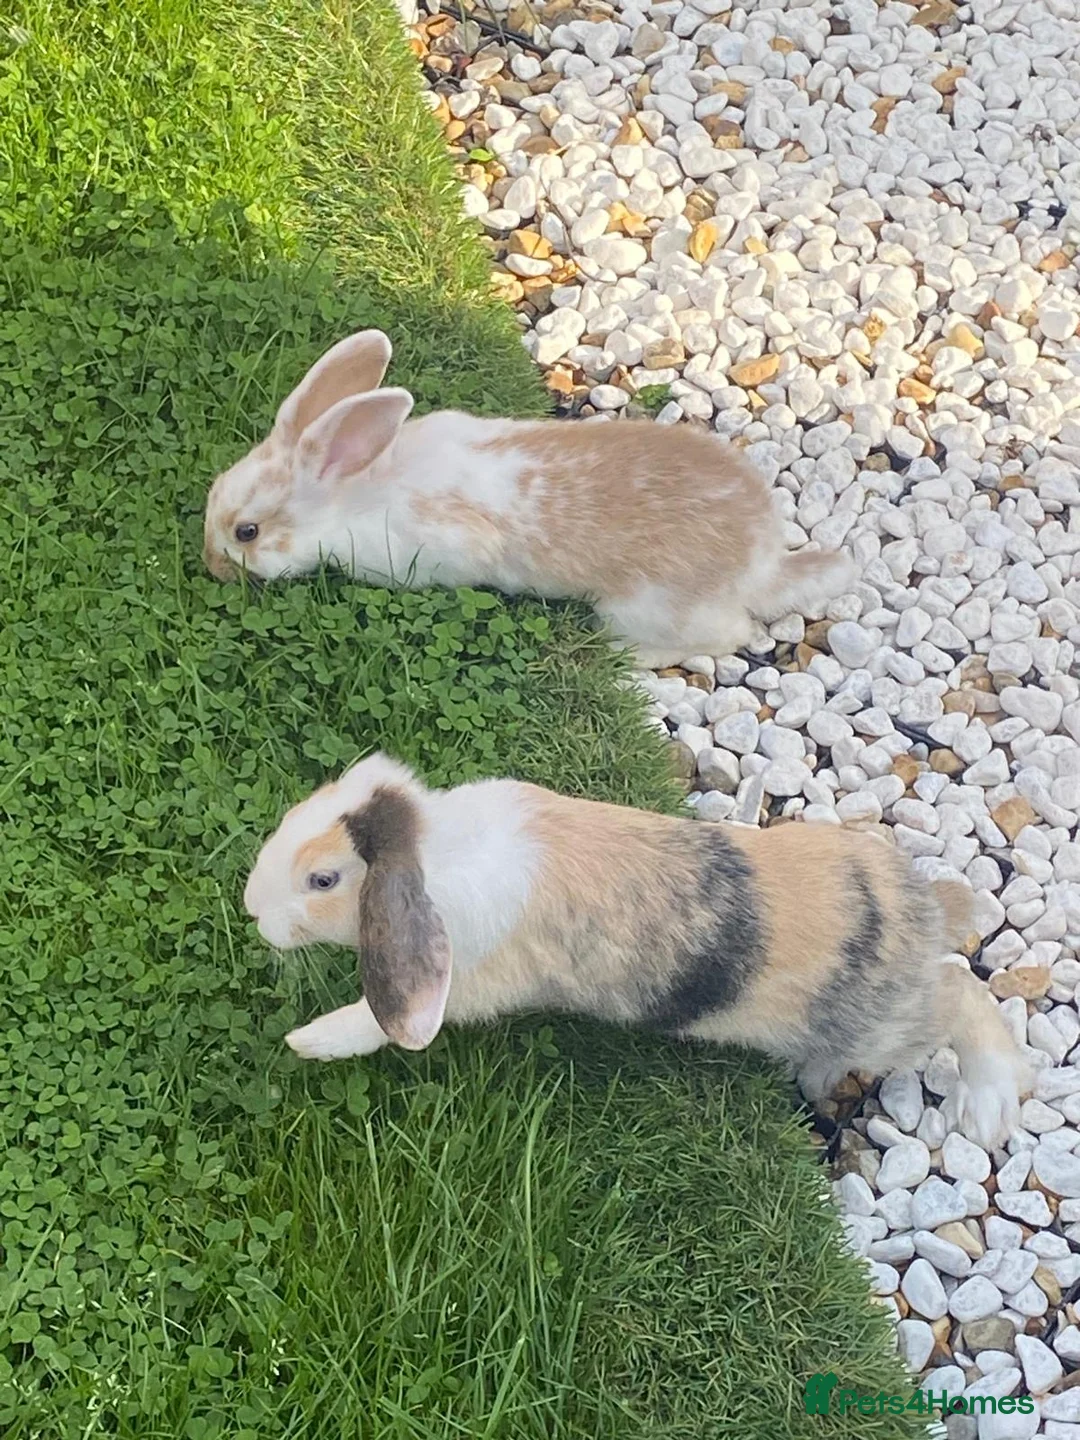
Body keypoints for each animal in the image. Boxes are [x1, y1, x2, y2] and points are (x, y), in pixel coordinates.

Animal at [203, 329, 855, 668]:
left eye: (246, 532)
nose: (211, 566)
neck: (352, 490)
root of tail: (764, 562)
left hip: (650, 608)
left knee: (730, 636)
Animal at [243, 751, 1032, 1151]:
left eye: (323, 879)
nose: (252, 908)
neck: (437, 853)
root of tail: (924, 914)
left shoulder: (467, 982)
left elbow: (375, 1020)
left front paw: (308, 1040)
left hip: (887, 1025)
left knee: (964, 997)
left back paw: (987, 1112)